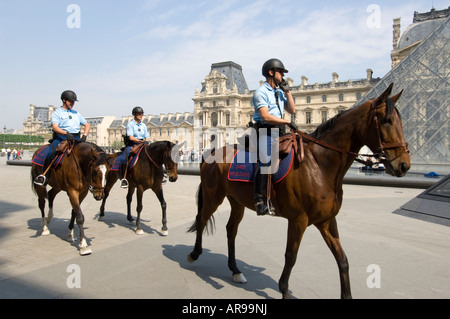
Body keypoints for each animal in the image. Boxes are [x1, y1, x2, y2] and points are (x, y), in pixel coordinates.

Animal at [186, 84, 412, 300]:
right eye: (387, 121)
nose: (404, 165)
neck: (321, 164)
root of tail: (211, 152)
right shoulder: (298, 219)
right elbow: (291, 256)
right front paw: (284, 290)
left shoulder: (327, 220)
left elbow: (342, 259)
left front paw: (346, 294)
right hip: (213, 196)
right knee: (202, 219)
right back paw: (194, 254)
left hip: (237, 201)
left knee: (230, 229)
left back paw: (235, 270)